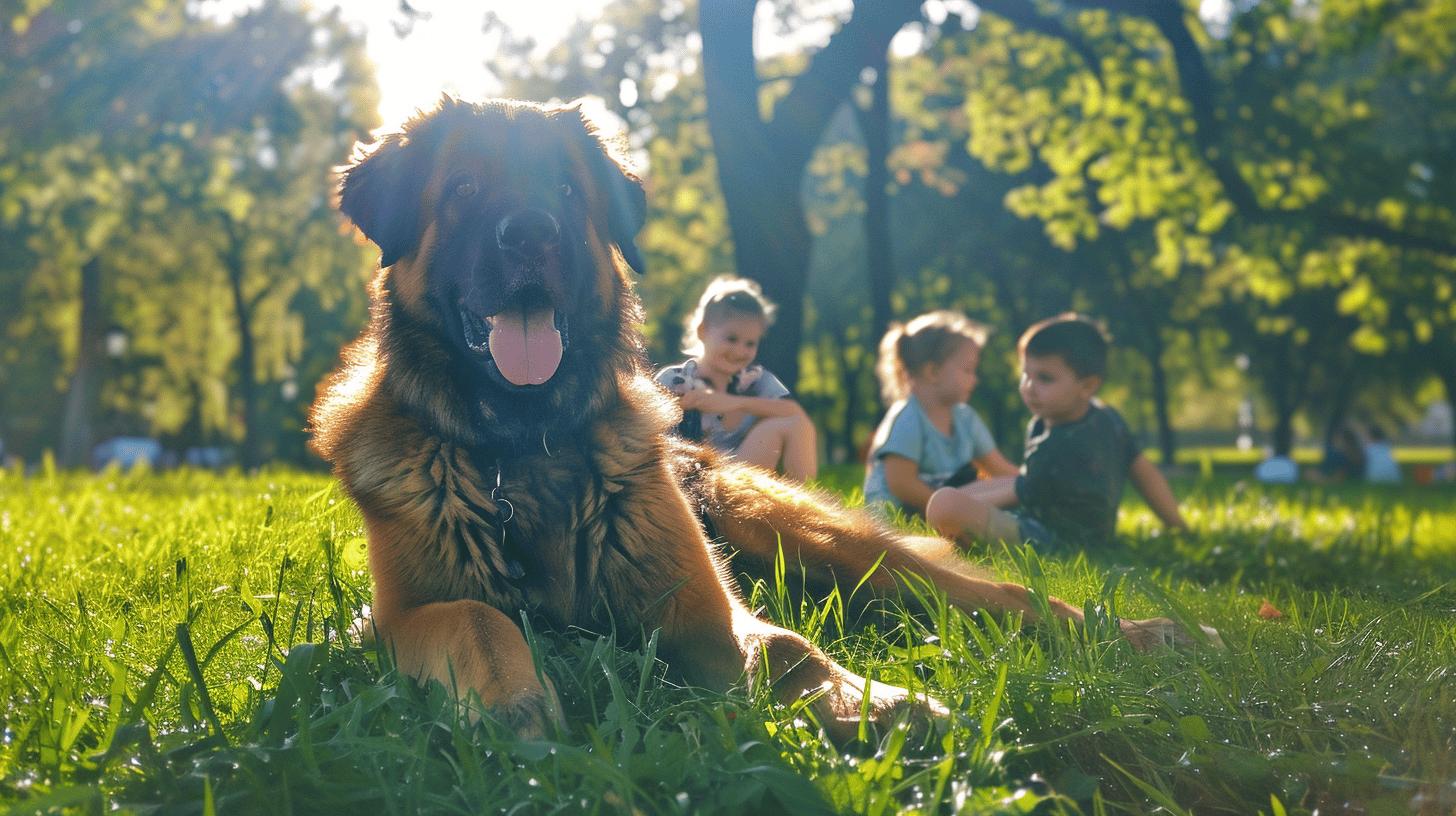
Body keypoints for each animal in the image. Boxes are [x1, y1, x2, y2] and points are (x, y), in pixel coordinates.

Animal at [313, 99, 1199, 743]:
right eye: (463, 188)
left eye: (566, 191)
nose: (532, 232)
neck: (525, 448)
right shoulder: (393, 618)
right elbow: (476, 619)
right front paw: (513, 712)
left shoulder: (702, 612)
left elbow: (787, 648)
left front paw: (875, 702)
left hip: (828, 545)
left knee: (1004, 594)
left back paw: (1150, 636)